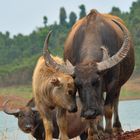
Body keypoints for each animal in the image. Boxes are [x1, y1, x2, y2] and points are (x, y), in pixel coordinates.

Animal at [64, 9, 135, 139]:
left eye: (96, 81)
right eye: (78, 84)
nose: (89, 112)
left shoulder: (113, 83)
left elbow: (107, 108)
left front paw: (108, 133)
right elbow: (94, 107)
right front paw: (93, 134)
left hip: (118, 85)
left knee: (115, 102)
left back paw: (116, 128)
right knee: (100, 103)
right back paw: (100, 130)